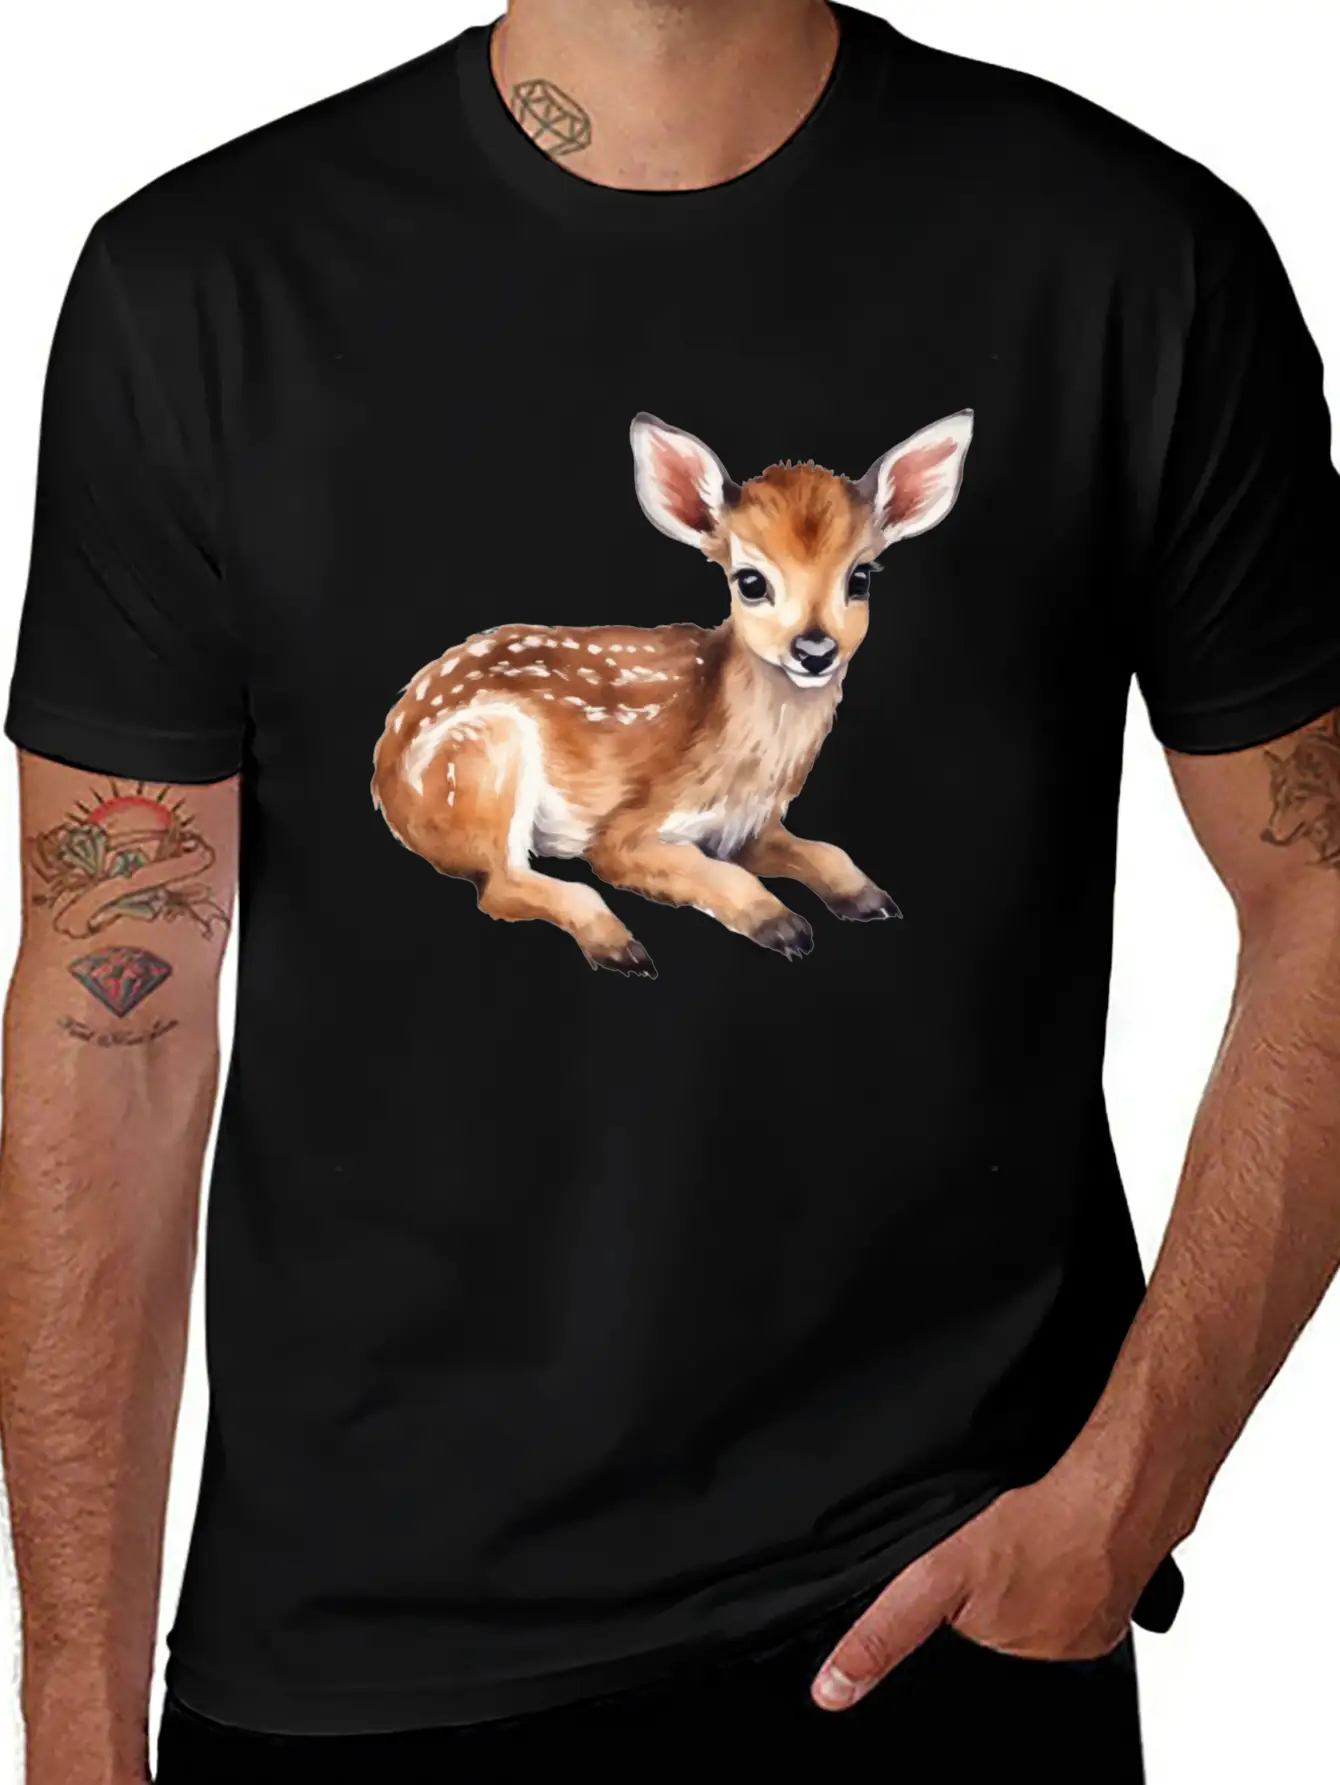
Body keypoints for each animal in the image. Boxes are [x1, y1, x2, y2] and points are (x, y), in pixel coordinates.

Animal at [372, 410, 972, 975]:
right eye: (750, 581)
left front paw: (871, 898)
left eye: (861, 577)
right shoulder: (628, 830)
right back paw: (619, 948)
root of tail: (386, 787)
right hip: (484, 756)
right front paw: (782, 925)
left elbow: (827, 851)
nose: (815, 650)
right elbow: (689, 867)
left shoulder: (750, 828)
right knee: (500, 885)